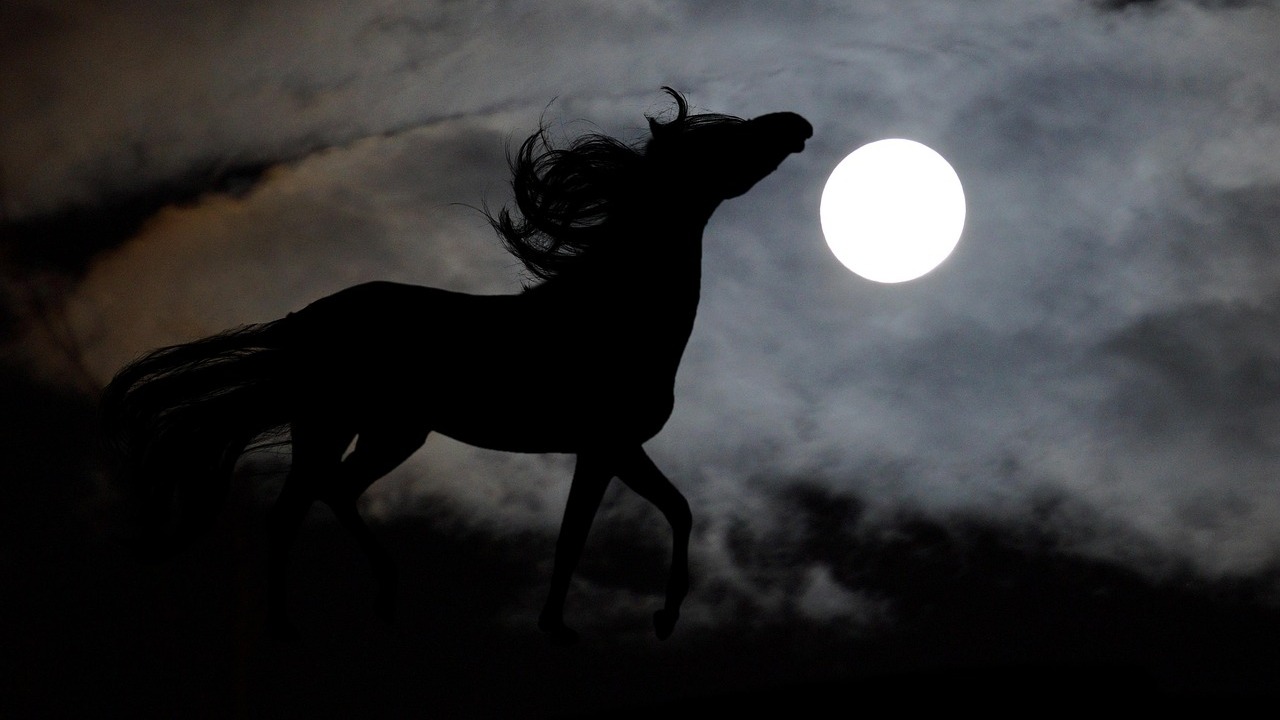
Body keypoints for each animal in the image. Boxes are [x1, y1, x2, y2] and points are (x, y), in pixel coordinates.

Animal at [100, 88, 812, 643]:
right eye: (718, 138)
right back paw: (293, 624)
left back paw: (382, 599)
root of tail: (305, 318)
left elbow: (654, 515)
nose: (796, 123)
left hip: (386, 430)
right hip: (337, 423)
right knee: (296, 506)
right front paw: (587, 625)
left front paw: (640, 620)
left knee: (332, 492)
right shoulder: (605, 445)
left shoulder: (611, 449)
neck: (612, 312)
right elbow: (593, 532)